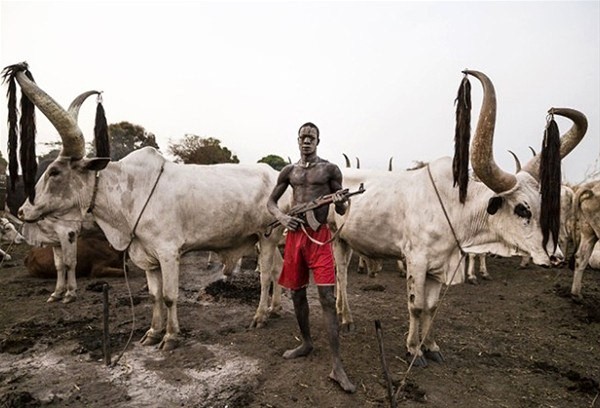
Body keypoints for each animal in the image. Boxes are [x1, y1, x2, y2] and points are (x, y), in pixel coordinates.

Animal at [328, 70, 584, 366]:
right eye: (522, 208)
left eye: (544, 205)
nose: (555, 256)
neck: (454, 208)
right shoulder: (416, 260)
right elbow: (416, 306)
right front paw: (413, 349)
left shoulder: (441, 265)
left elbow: (432, 307)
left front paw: (431, 346)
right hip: (335, 238)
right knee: (342, 275)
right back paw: (346, 319)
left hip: (347, 240)